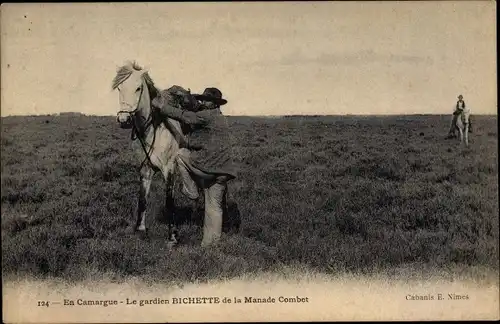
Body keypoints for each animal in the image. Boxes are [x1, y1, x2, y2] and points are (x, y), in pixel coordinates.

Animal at [112, 62, 228, 247]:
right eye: (119, 88)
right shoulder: (145, 169)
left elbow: (169, 201)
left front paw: (172, 237)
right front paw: (140, 230)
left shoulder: (169, 168)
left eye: (138, 88)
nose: (124, 120)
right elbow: (142, 199)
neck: (155, 128)